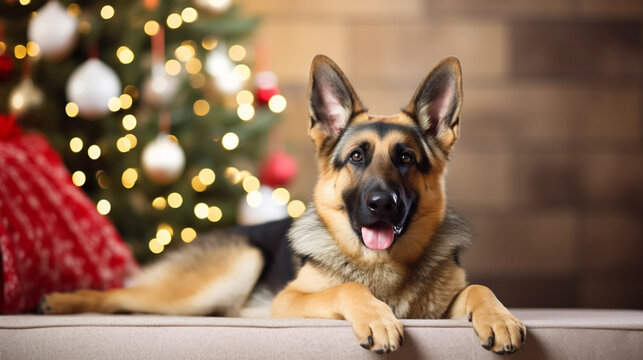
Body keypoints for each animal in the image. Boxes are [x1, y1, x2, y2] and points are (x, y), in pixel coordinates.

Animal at [40, 55, 524, 354]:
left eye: (406, 159)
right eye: (357, 157)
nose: (381, 204)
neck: (382, 266)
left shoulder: (443, 307)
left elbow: (479, 289)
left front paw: (499, 317)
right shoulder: (289, 303)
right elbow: (347, 288)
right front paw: (377, 317)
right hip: (227, 272)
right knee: (122, 295)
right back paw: (62, 301)